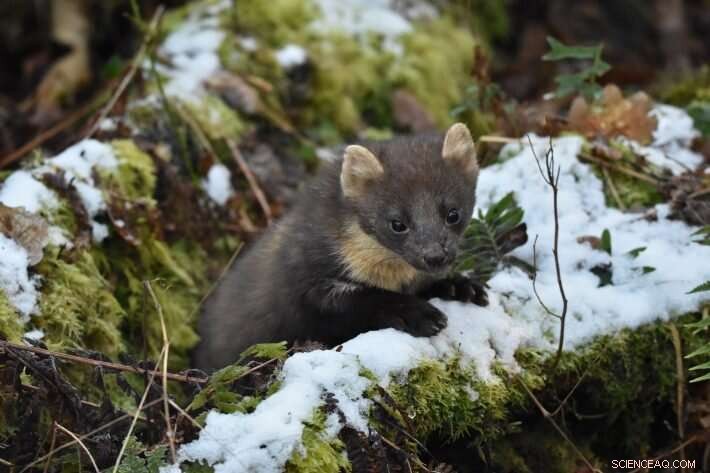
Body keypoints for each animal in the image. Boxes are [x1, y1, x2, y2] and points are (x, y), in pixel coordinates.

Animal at [194, 123, 487, 370]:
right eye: (397, 223)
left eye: (453, 213)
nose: (435, 255)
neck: (393, 277)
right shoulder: (309, 277)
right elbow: (361, 301)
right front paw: (418, 313)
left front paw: (463, 286)